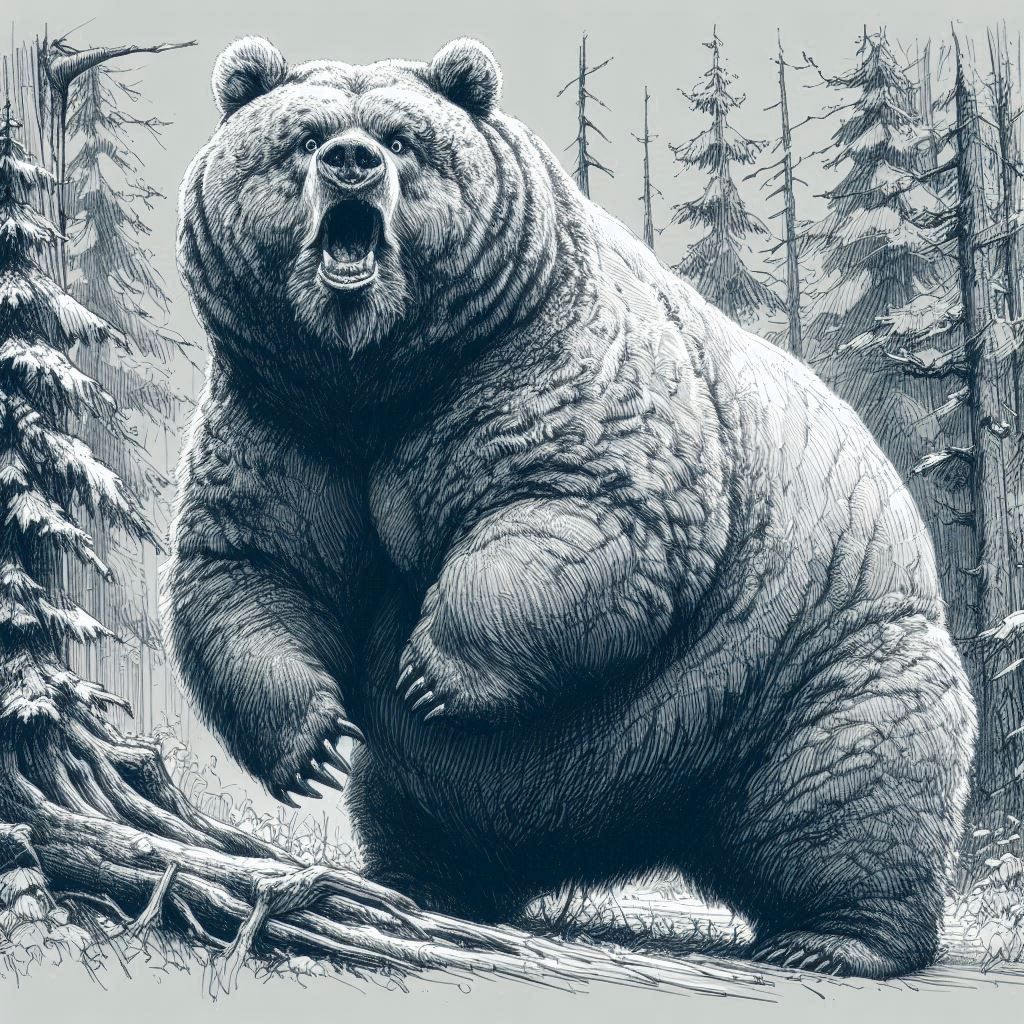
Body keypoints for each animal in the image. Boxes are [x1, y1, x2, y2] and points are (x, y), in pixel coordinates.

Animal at [166, 35, 977, 979]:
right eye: (304, 136)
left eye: (403, 139)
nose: (352, 163)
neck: (378, 375)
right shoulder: (285, 415)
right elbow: (256, 563)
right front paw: (314, 743)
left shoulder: (545, 365)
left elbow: (585, 508)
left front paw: (431, 670)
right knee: (417, 812)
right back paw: (419, 886)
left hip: (825, 656)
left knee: (848, 787)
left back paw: (832, 939)